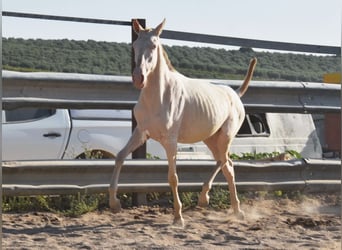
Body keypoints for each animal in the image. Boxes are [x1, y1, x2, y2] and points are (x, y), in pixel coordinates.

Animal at [109, 19, 256, 227]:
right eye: (134, 46)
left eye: (153, 45)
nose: (138, 78)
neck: (158, 96)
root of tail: (235, 94)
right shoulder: (141, 132)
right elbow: (120, 157)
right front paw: (114, 203)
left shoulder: (170, 140)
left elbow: (173, 177)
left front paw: (178, 217)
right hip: (211, 138)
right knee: (223, 161)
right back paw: (204, 198)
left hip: (225, 137)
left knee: (228, 167)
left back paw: (237, 210)